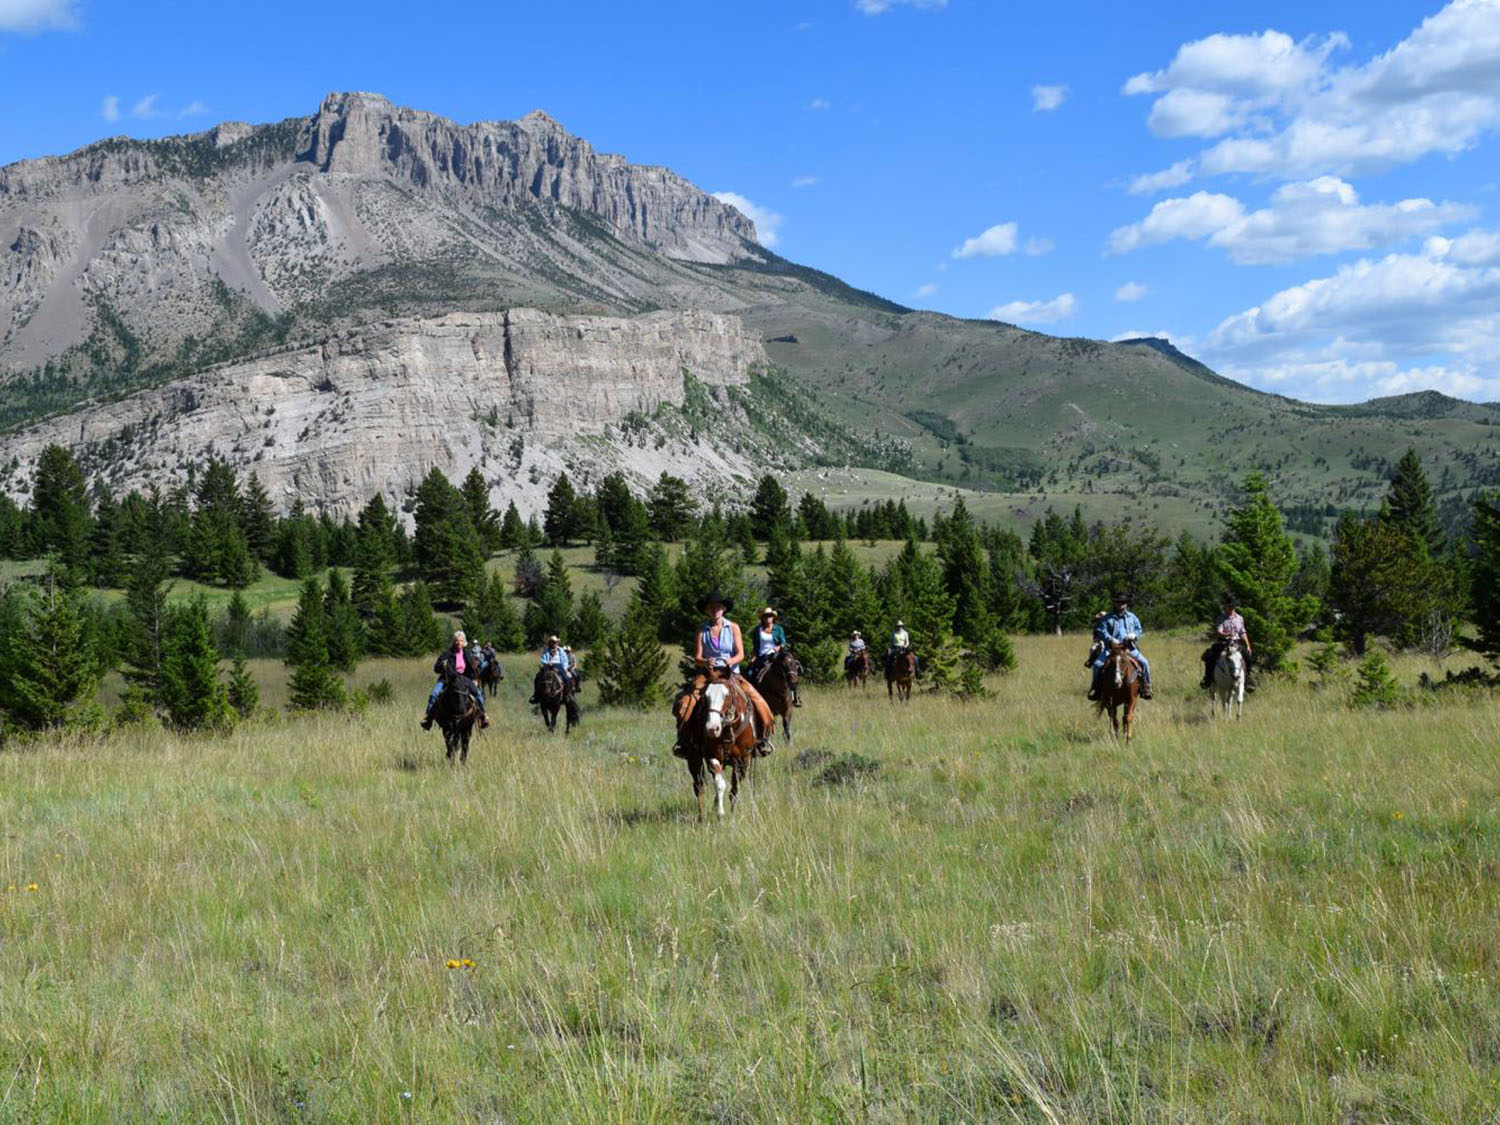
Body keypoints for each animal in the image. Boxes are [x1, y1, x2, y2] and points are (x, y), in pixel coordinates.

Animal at [678, 669, 756, 822]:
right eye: (705, 696)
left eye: (726, 695)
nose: (712, 728)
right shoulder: (712, 757)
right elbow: (720, 785)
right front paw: (720, 813)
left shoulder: (743, 761)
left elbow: (734, 790)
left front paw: (732, 817)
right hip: (694, 759)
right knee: (699, 787)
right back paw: (701, 817)